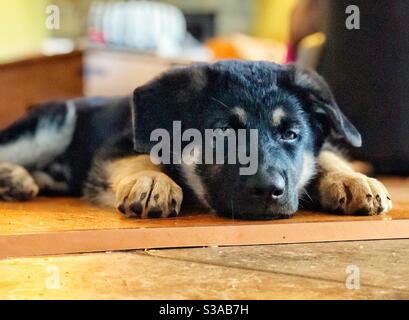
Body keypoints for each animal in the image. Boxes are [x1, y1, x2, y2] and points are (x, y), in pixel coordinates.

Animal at [0, 60, 390, 219]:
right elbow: (142, 156)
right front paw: (152, 182)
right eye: (224, 132)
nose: (268, 192)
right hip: (54, 121)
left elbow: (326, 154)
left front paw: (354, 180)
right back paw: (12, 176)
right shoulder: (117, 146)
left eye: (291, 134)